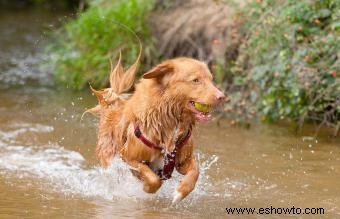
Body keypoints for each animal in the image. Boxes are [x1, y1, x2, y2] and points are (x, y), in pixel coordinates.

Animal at [87, 51, 226, 204]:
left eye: (211, 80)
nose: (222, 97)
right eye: (196, 80)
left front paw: (180, 192)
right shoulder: (129, 157)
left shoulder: (183, 161)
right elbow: (153, 179)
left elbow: (195, 172)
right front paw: (148, 188)